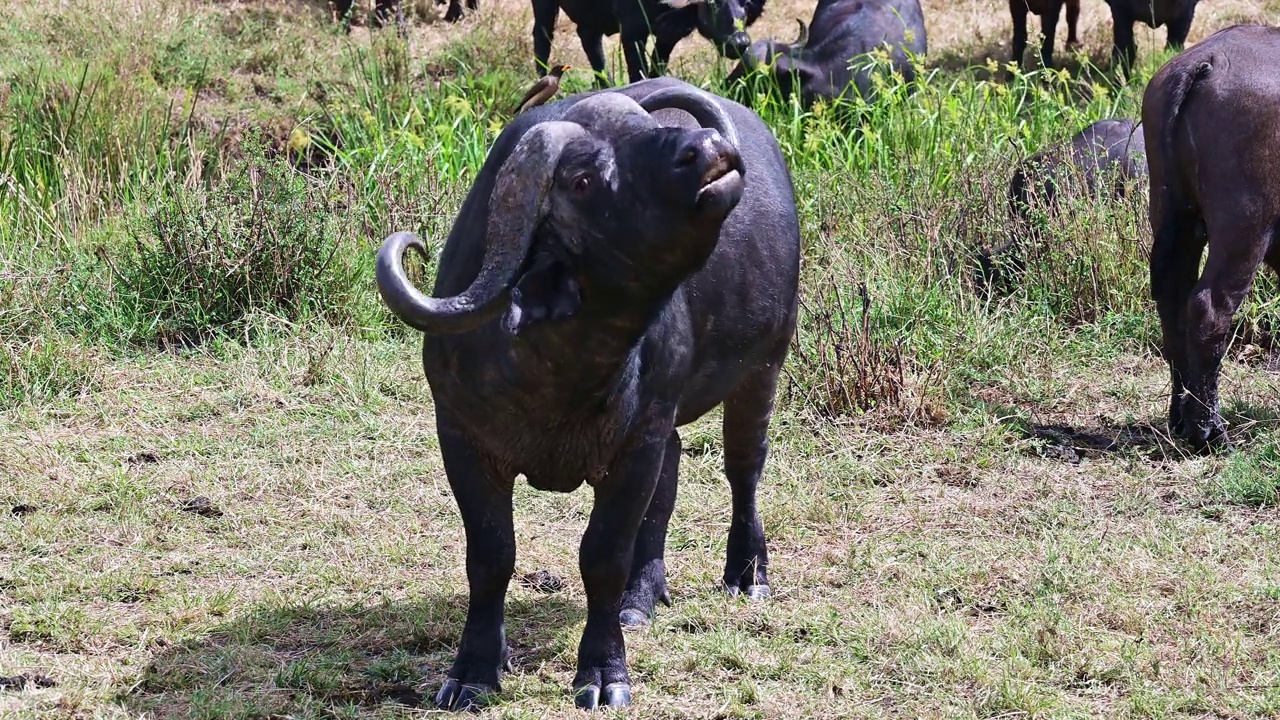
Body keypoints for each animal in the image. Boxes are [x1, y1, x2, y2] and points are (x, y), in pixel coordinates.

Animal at [373, 78, 798, 707]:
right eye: (582, 180)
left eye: (647, 131)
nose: (704, 147)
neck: (563, 367)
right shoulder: (462, 439)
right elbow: (491, 556)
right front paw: (475, 668)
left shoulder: (635, 446)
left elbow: (603, 557)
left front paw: (603, 672)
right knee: (672, 477)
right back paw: (642, 599)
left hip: (764, 365)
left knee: (744, 468)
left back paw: (746, 574)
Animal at [532, 0, 762, 84]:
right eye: (714, 3)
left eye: (746, 3)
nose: (739, 42)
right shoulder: (632, 30)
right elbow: (637, 68)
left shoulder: (670, 35)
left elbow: (658, 62)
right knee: (542, 34)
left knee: (588, 37)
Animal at [1146, 25, 1274, 448]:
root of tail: (1208, 61)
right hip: (1244, 228)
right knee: (1209, 309)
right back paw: (1209, 431)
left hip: (1173, 213)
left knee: (1173, 302)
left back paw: (1181, 418)